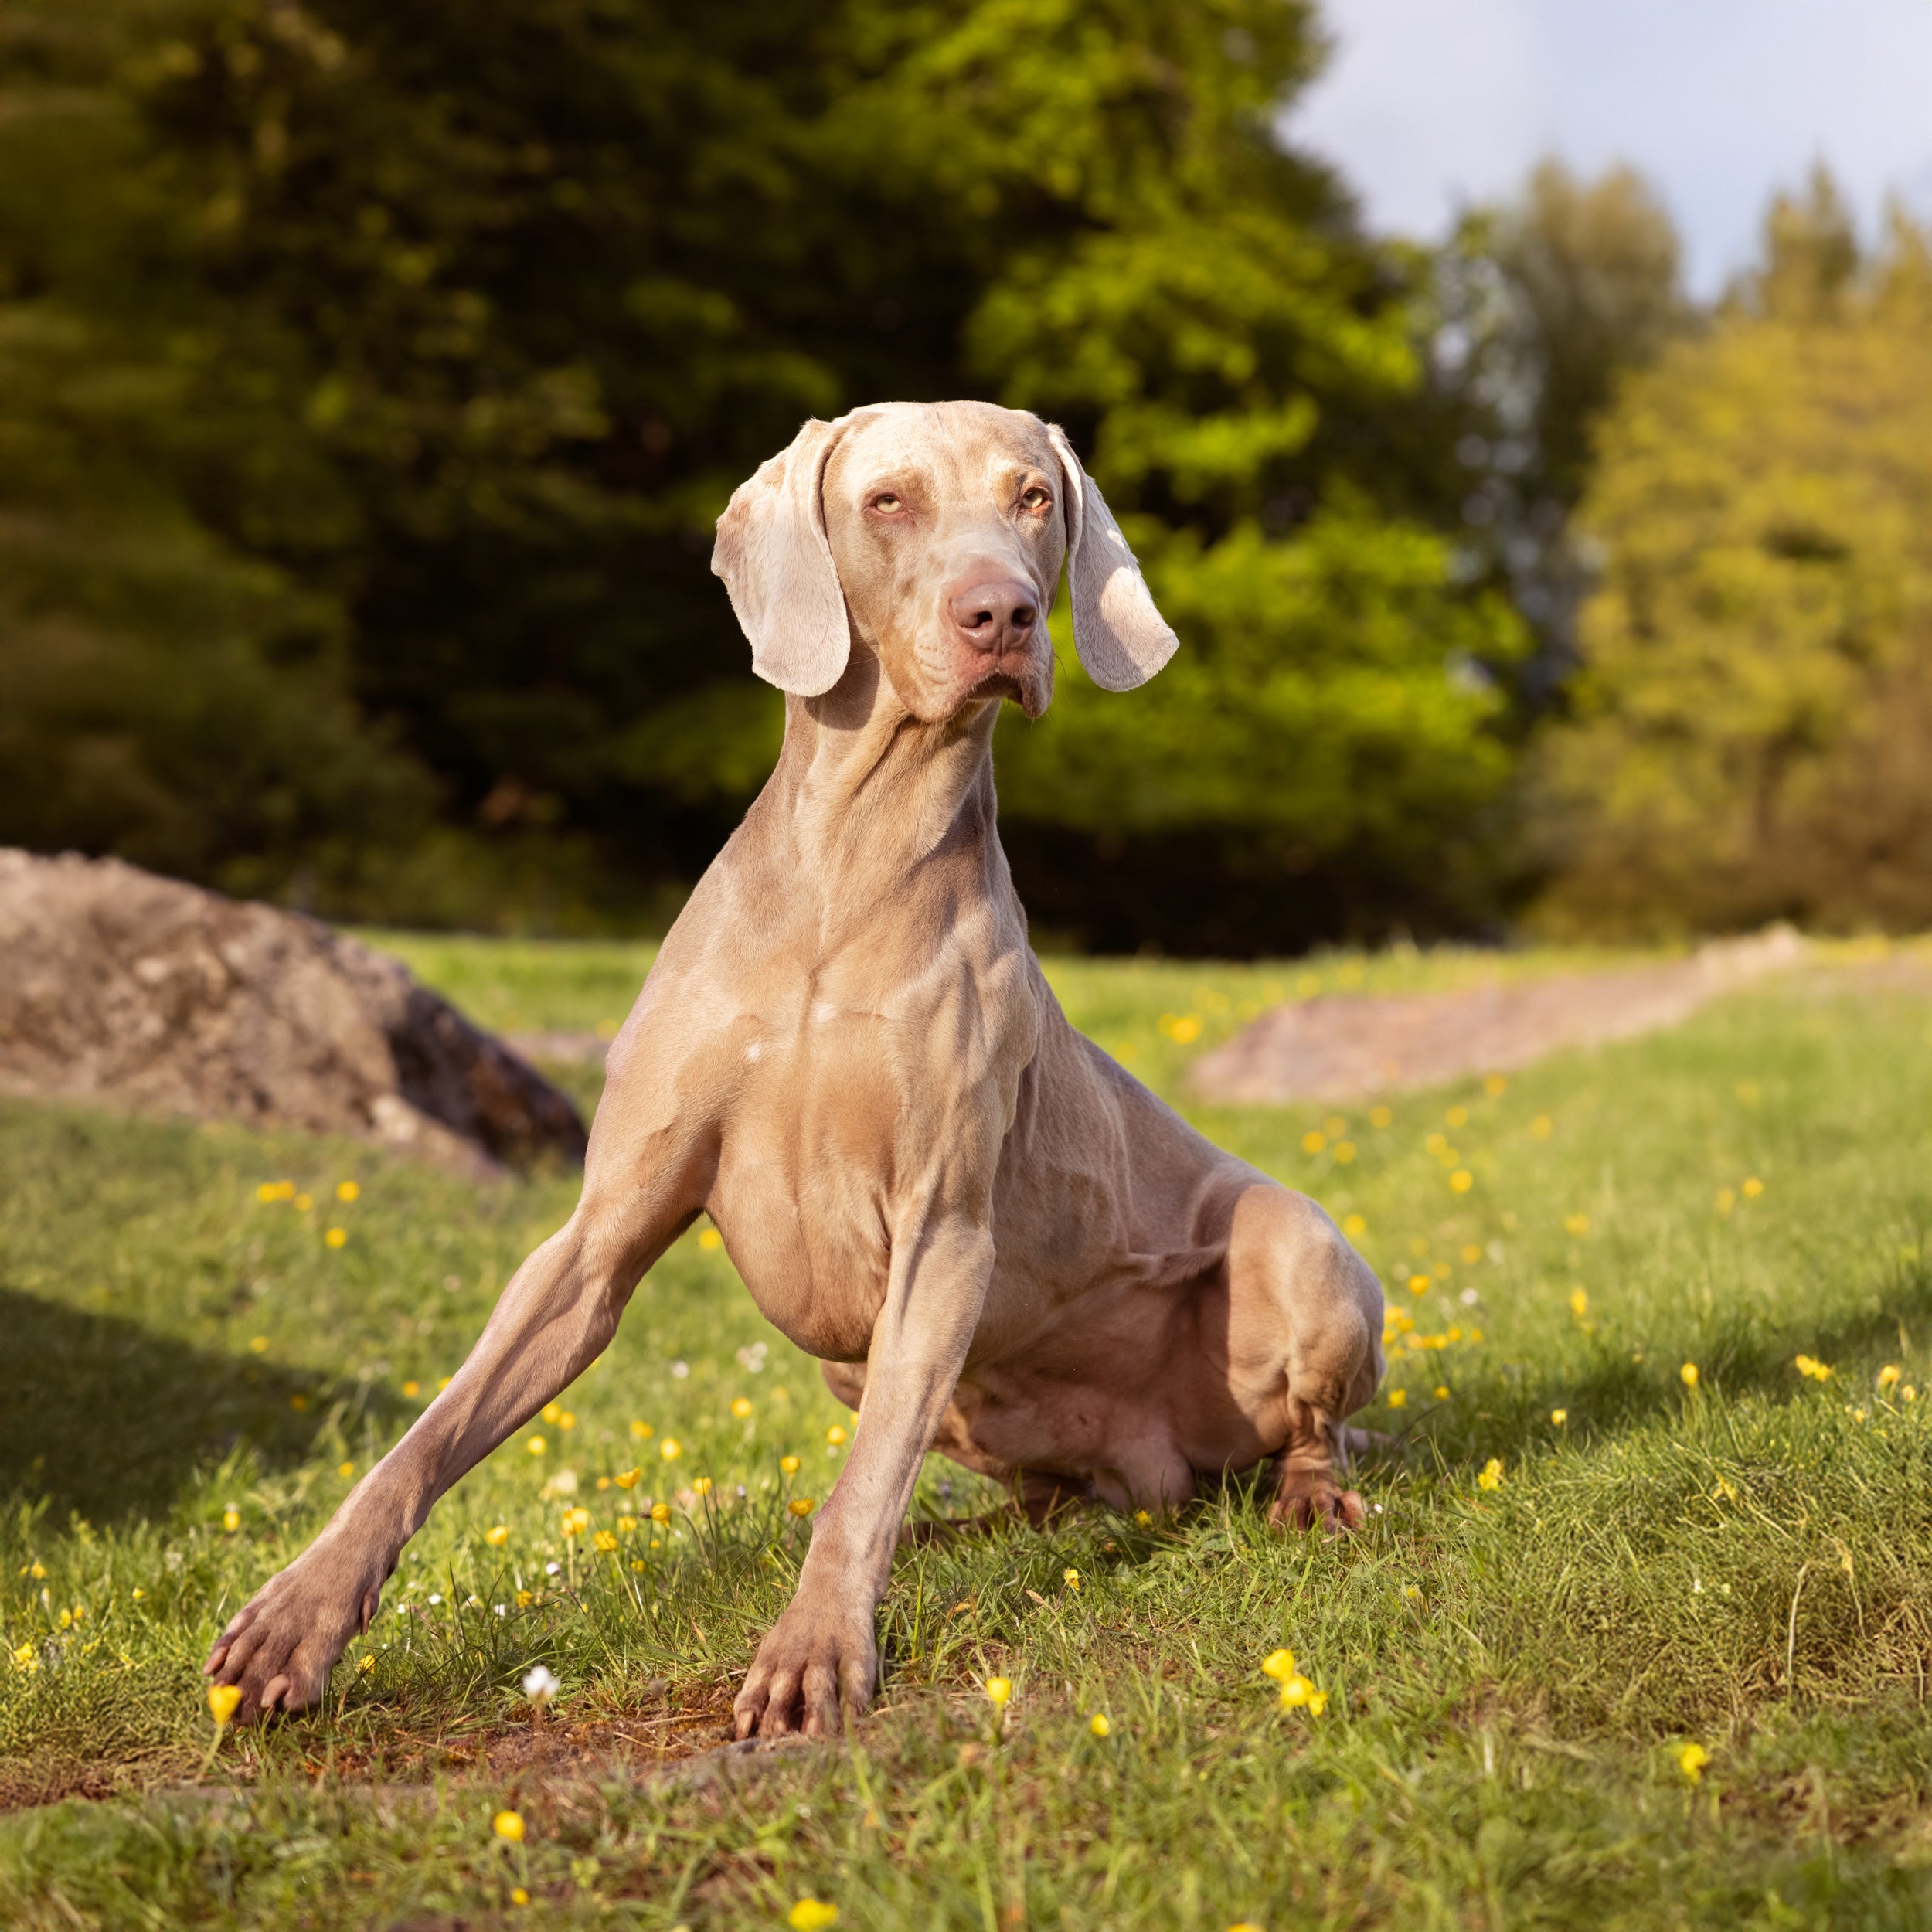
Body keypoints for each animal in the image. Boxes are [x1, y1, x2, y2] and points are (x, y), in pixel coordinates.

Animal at [207, 403, 1391, 1739]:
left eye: (1034, 498)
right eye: (888, 501)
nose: (1001, 616)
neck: (851, 860)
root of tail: (1168, 1467)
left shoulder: (944, 1231)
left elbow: (864, 1481)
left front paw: (815, 1651)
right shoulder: (601, 1231)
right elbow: (428, 1434)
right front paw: (300, 1616)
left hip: (1292, 1248)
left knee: (1305, 1428)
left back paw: (1306, 1497)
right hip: (877, 1372)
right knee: (1045, 1494)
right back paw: (965, 1534)